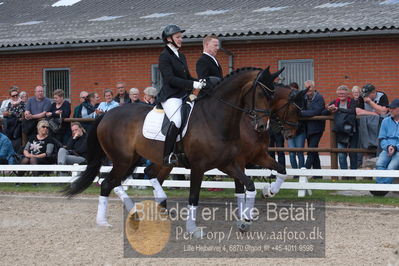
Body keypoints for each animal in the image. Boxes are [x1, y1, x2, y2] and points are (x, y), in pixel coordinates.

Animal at [65, 67, 282, 236]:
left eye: (273, 96)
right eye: (261, 94)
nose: (262, 126)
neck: (215, 117)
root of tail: (107, 114)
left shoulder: (227, 163)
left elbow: (251, 184)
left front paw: (247, 218)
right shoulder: (199, 167)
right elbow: (194, 197)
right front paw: (193, 229)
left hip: (141, 160)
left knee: (134, 177)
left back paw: (145, 209)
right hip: (123, 159)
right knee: (108, 183)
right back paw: (106, 220)